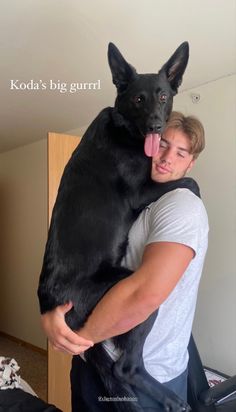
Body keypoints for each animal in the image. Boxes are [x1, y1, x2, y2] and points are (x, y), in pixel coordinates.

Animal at [38, 43, 197, 410]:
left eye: (163, 96)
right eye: (138, 99)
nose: (155, 126)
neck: (123, 127)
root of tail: (50, 301)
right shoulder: (142, 191)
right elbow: (189, 180)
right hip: (132, 292)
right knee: (124, 368)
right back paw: (168, 398)